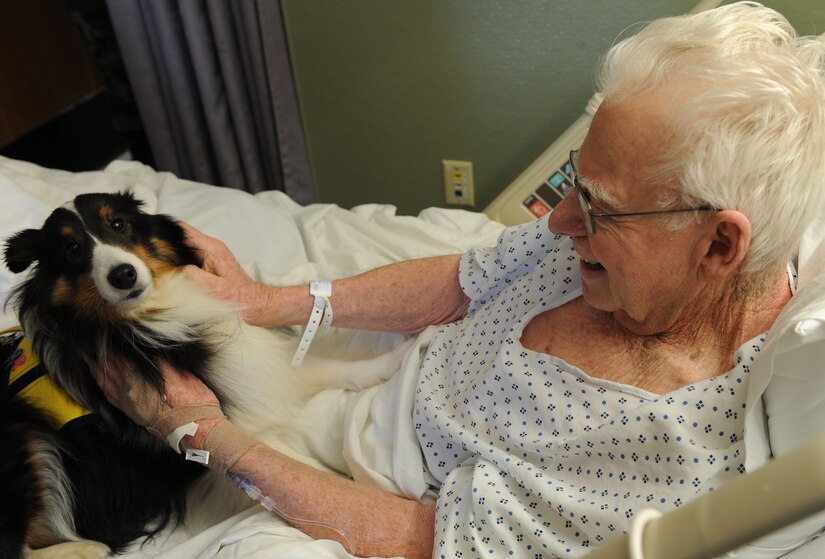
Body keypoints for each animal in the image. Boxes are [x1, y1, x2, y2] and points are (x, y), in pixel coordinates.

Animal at [0, 191, 328, 556]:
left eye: (119, 224)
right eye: (71, 249)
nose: (123, 275)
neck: (151, 314)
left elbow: (326, 367)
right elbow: (298, 468)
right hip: (21, 433)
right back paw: (88, 548)